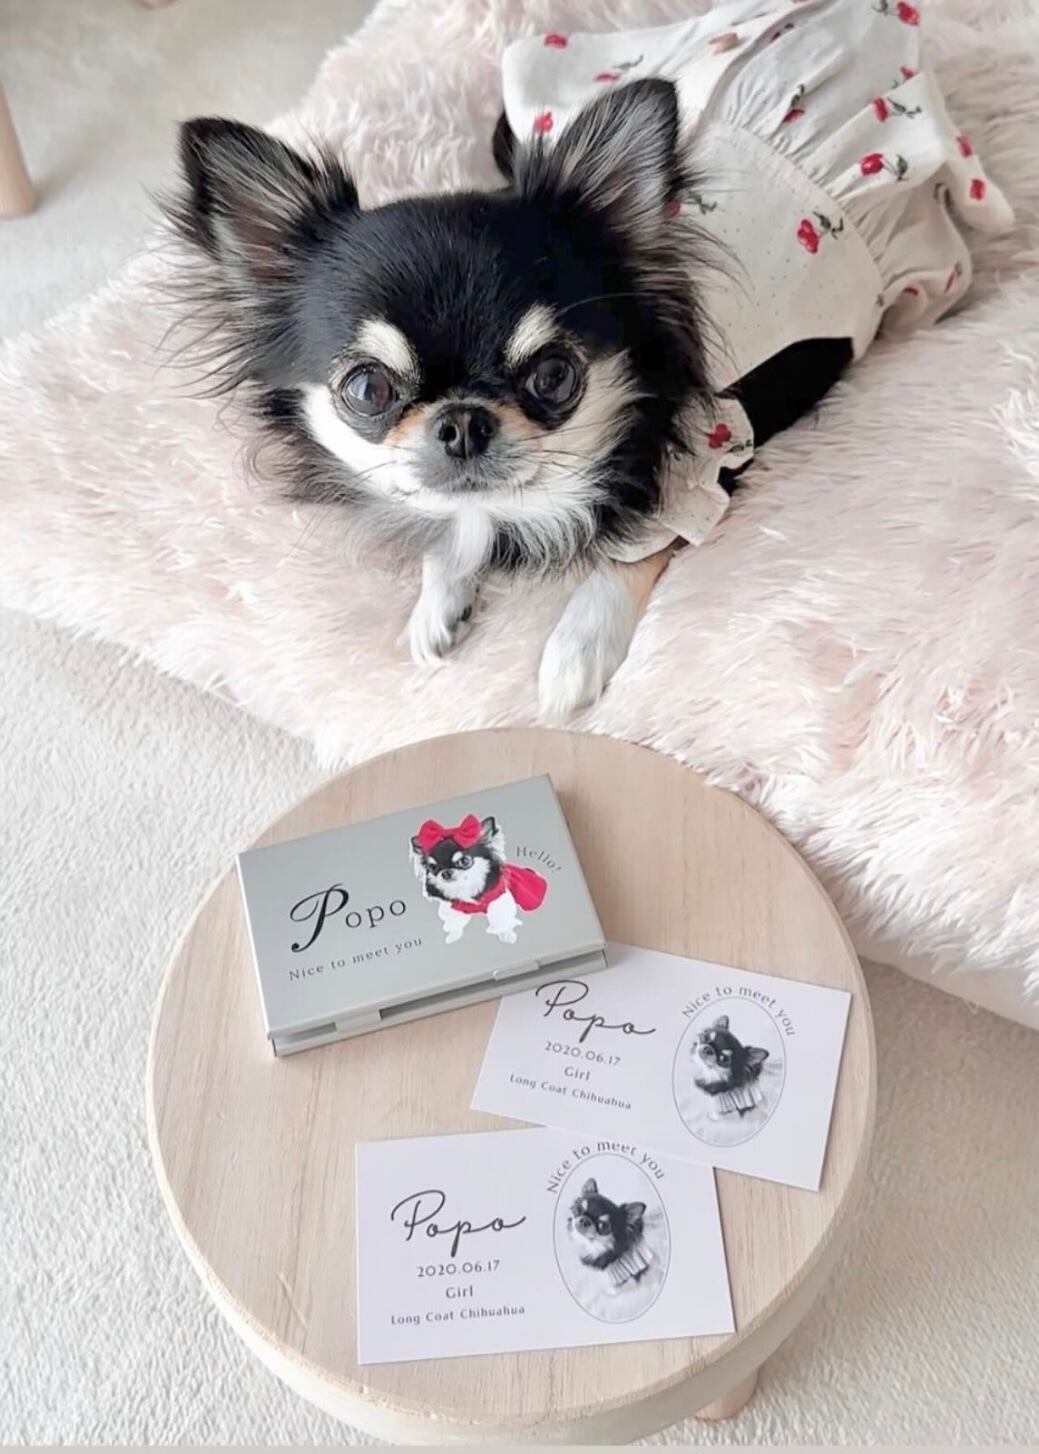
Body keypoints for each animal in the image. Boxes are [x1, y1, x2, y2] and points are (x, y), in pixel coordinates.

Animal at [164, 76, 850, 719]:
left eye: (553, 376)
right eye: (367, 388)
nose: (462, 421)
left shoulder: (713, 454)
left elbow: (632, 552)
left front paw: (578, 648)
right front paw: (440, 598)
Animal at [409, 812, 547, 944]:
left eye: (465, 861)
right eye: (432, 867)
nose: (445, 872)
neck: (464, 887)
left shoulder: (498, 900)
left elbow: (501, 920)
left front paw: (507, 935)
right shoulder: (456, 909)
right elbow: (455, 924)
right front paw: (453, 936)